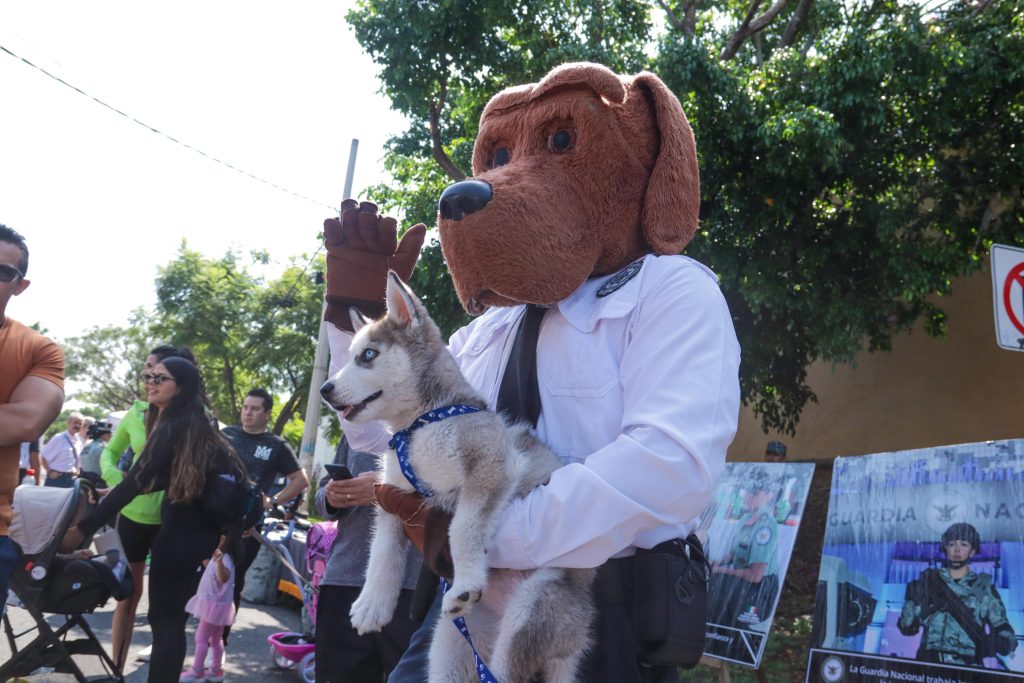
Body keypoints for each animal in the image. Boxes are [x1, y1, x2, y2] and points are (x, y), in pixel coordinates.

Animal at [321, 272, 596, 683]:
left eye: (368, 355)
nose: (325, 389)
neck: (419, 424)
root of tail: (572, 645)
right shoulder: (393, 495)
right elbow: (382, 550)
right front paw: (372, 604)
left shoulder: (491, 463)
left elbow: (461, 527)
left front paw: (465, 578)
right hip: (449, 645)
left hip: (531, 612)